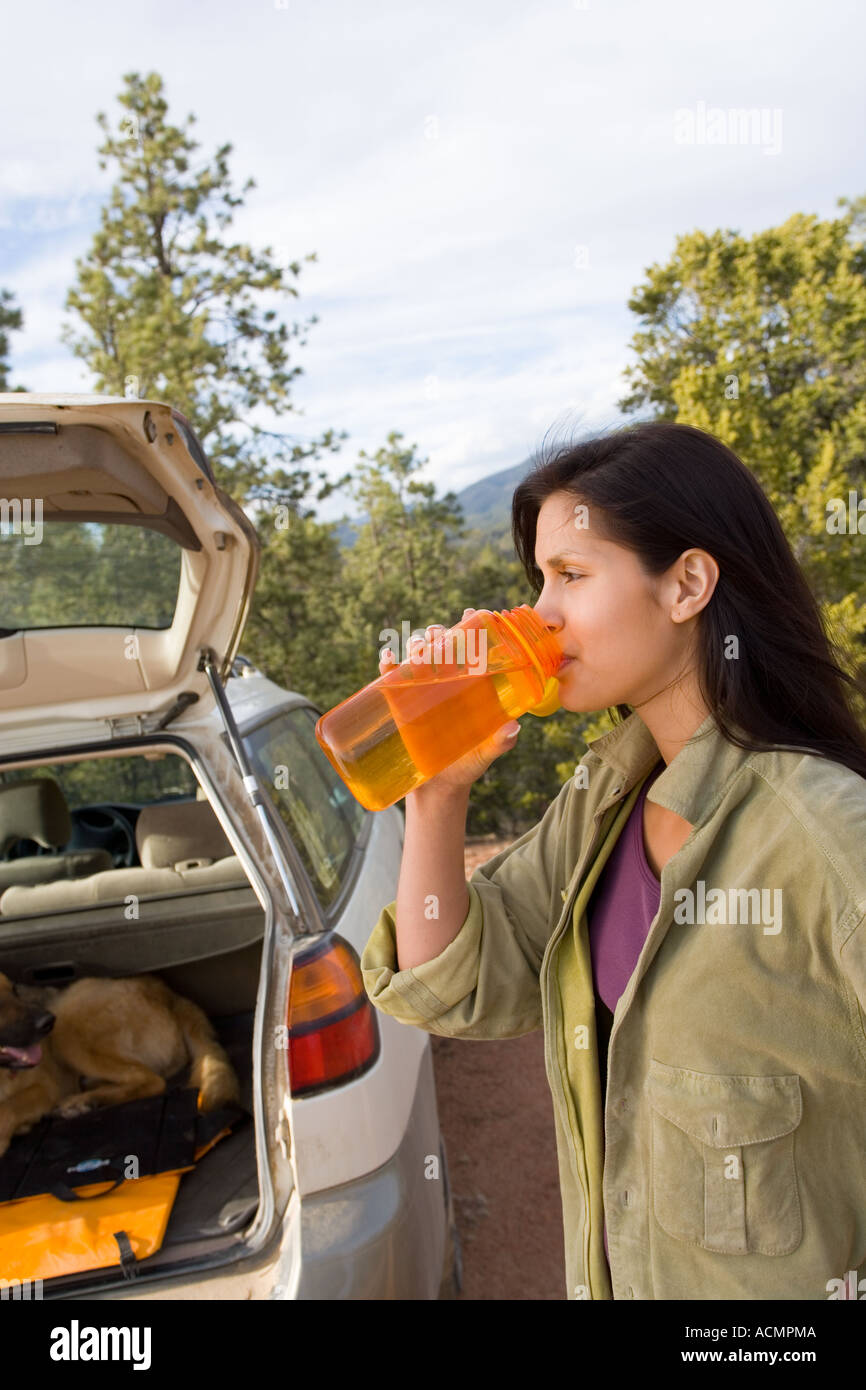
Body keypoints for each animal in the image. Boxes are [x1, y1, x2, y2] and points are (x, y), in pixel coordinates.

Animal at [0, 967, 240, 1162]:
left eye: (14, 990)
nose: (47, 1022)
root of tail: (167, 993)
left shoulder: (45, 1088)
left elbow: (11, 1107)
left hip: (70, 1024)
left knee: (151, 1081)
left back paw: (83, 1101)